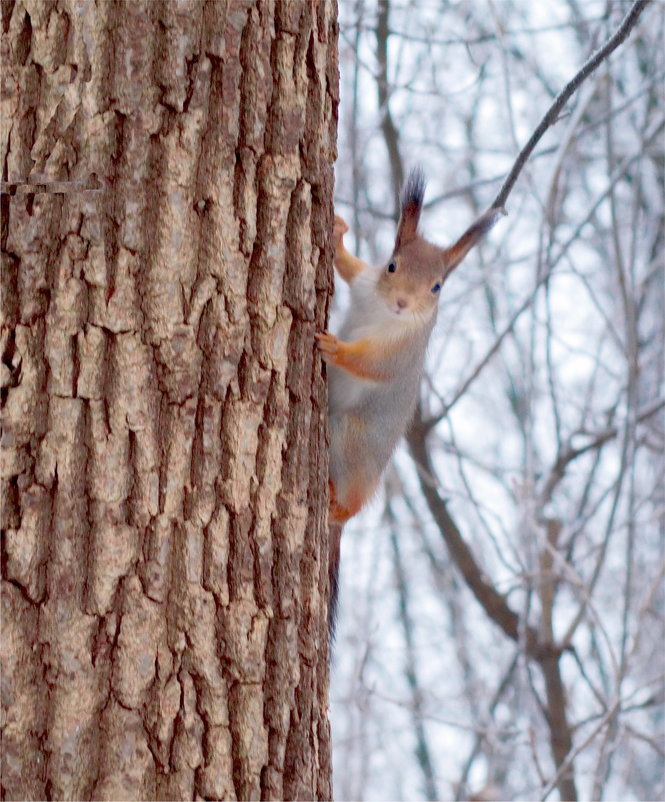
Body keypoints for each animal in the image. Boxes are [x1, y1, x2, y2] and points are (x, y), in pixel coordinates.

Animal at [316, 169, 504, 632]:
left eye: (437, 287)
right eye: (391, 265)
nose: (402, 303)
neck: (384, 314)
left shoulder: (400, 354)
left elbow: (371, 366)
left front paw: (336, 348)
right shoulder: (366, 285)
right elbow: (351, 269)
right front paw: (338, 235)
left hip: (352, 439)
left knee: (352, 507)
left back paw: (337, 504)